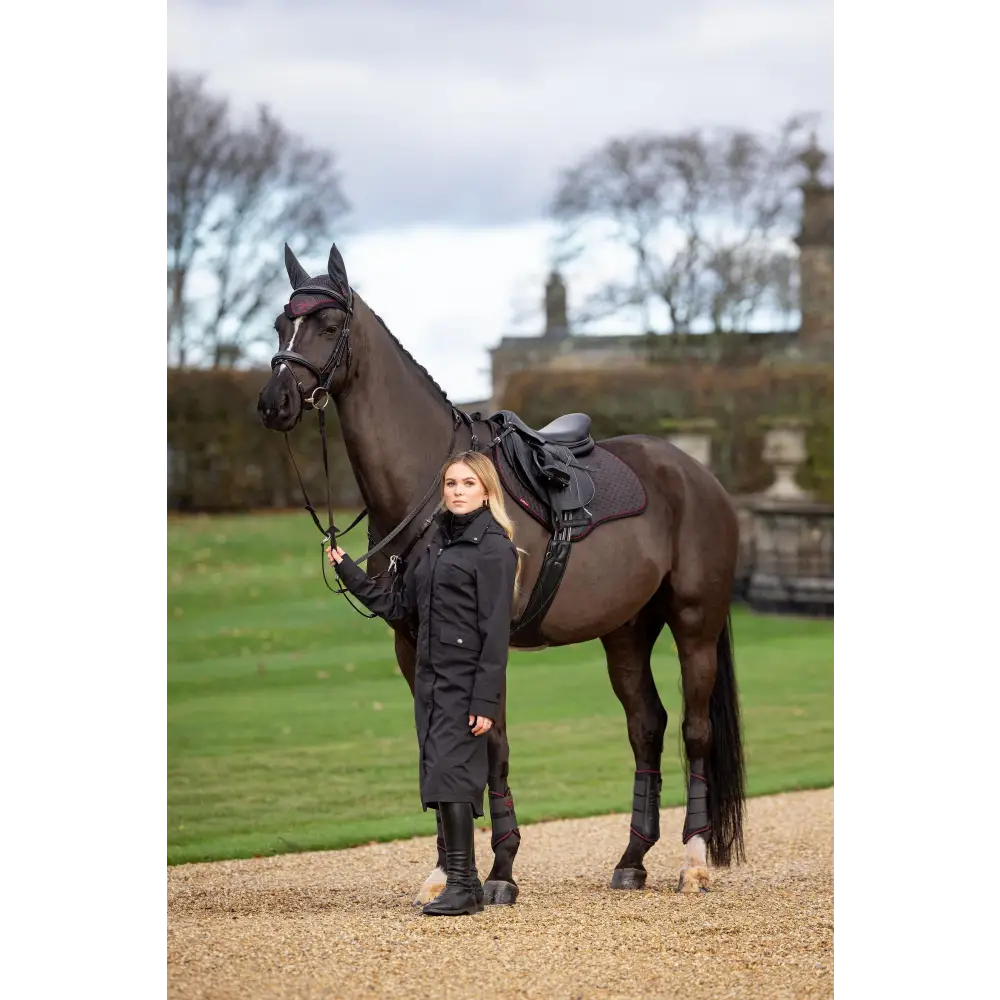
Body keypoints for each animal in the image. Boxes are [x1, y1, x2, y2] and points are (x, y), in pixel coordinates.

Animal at [256, 244, 744, 908]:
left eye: (328, 326)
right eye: (282, 322)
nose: (273, 402)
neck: (437, 495)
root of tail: (696, 473)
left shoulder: (489, 647)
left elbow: (493, 749)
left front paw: (502, 871)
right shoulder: (414, 646)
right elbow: (434, 746)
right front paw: (445, 871)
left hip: (694, 624)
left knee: (695, 731)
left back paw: (692, 860)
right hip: (625, 633)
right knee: (646, 727)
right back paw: (631, 859)